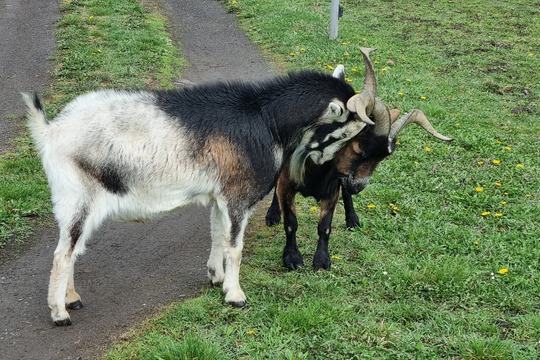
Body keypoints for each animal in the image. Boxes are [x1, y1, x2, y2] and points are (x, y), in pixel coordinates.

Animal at [264, 50, 454, 272]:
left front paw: (321, 261)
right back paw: (273, 214)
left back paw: (353, 219)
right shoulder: (287, 182)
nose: (359, 186)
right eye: (360, 148)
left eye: (384, 157)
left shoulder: (333, 187)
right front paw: (292, 258)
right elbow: (291, 223)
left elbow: (325, 226)